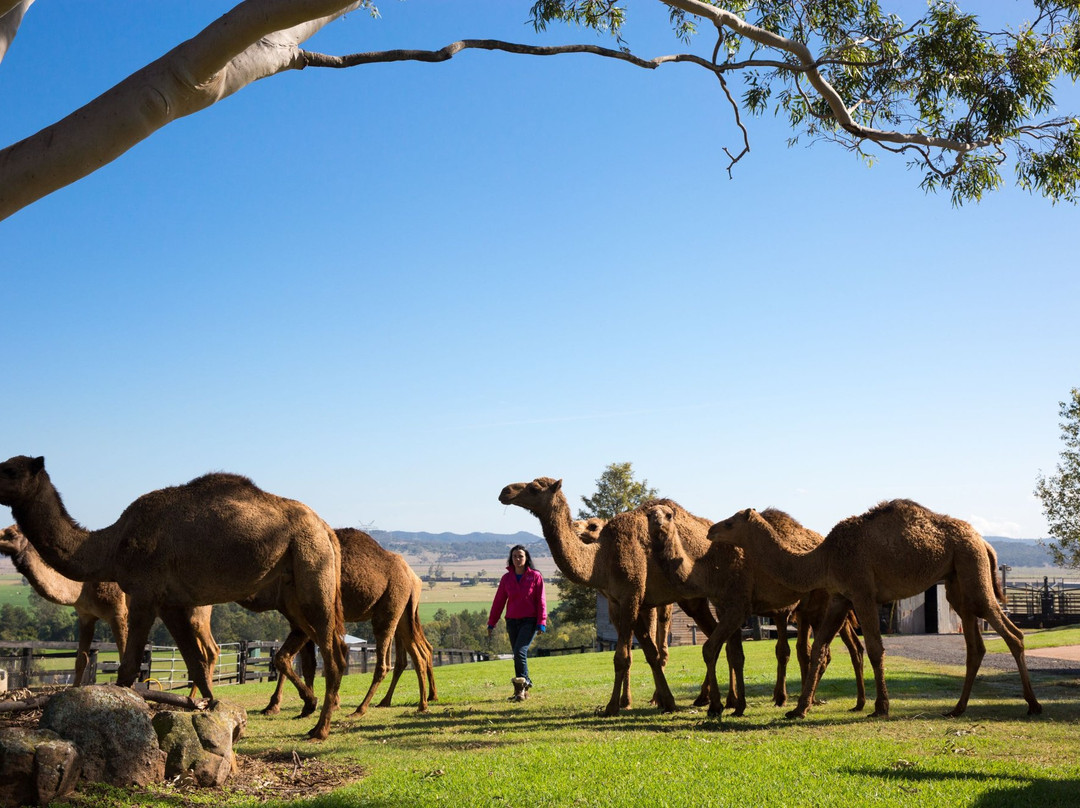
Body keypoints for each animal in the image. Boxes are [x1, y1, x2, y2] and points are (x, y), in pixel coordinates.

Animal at [0, 453, 345, 738]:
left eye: (11, 470)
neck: (112, 545)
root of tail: (326, 528)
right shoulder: (170, 603)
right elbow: (195, 664)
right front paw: (212, 713)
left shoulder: (142, 594)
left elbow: (128, 666)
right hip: (293, 591)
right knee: (324, 644)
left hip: (313, 568)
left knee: (333, 655)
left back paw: (320, 729)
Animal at [240, 527, 434, 717]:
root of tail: (412, 578)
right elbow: (307, 664)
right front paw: (302, 705)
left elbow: (289, 658)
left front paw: (284, 705)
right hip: (403, 613)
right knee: (418, 654)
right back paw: (420, 704)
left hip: (389, 608)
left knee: (387, 662)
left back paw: (362, 709)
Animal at [498, 477, 725, 717]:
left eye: (534, 488)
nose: (505, 491)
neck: (601, 559)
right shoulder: (621, 602)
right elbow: (648, 653)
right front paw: (667, 702)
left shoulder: (631, 596)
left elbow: (622, 657)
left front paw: (612, 706)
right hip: (694, 600)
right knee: (715, 634)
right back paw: (705, 698)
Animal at [643, 505, 864, 712]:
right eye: (649, 514)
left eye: (669, 515)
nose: (657, 524)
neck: (710, 571)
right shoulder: (726, 608)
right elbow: (735, 654)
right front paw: (736, 704)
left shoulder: (741, 607)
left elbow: (712, 649)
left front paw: (717, 706)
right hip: (811, 610)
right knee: (813, 648)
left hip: (820, 606)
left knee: (830, 648)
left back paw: (808, 701)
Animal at [704, 499, 1041, 721]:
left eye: (731, 522)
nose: (711, 531)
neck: (823, 558)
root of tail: (985, 542)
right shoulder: (840, 597)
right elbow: (820, 648)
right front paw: (798, 709)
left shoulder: (862, 591)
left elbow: (876, 648)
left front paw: (881, 707)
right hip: (957, 581)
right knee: (976, 646)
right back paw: (957, 708)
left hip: (972, 568)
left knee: (1012, 633)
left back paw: (1033, 705)